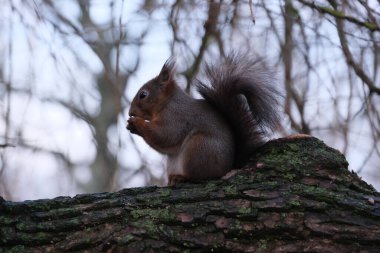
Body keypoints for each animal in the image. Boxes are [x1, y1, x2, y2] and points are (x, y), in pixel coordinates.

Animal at [126, 52, 280, 185]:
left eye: (143, 95)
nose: (130, 113)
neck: (167, 103)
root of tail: (228, 168)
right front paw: (131, 126)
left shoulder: (177, 117)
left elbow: (166, 135)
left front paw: (138, 123)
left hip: (199, 147)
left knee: (199, 176)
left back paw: (181, 178)